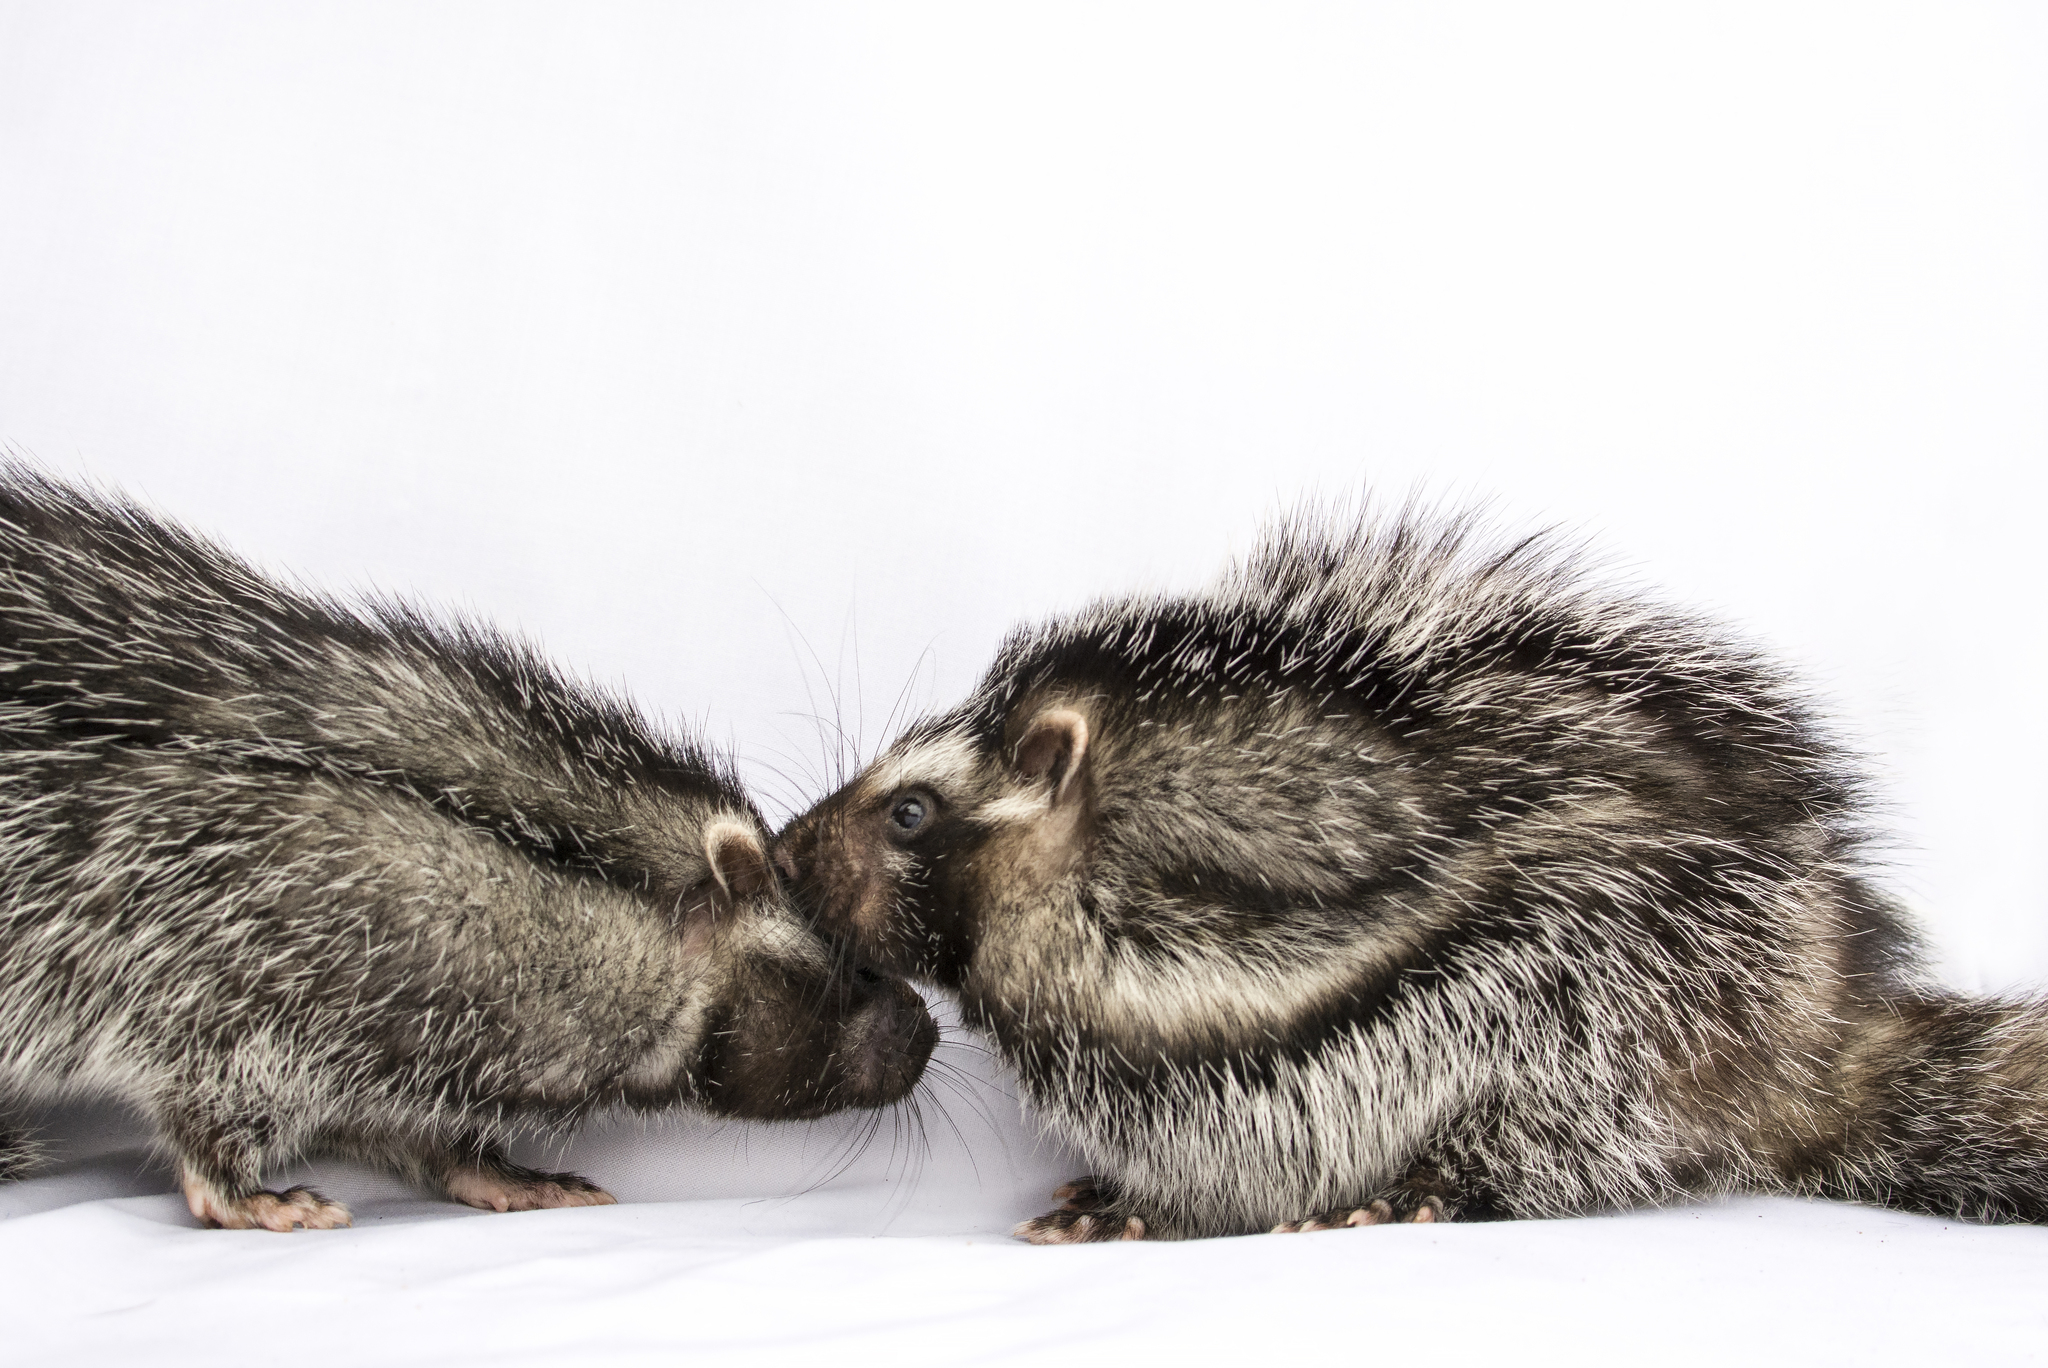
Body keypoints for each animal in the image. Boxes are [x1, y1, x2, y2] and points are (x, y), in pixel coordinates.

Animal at [0, 467, 936, 1230]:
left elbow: (390, 1119)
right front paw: (233, 1185)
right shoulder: (222, 952)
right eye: (856, 967)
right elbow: (211, 1092)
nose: (927, 1034)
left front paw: (486, 1167)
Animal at [776, 505, 2048, 1240]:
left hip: (1638, 991)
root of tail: (1820, 1024)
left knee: (1572, 1129)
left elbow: (1247, 1139)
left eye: (909, 810)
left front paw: (1133, 1205)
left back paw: (1425, 1190)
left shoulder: (1260, 1032)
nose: (788, 853)